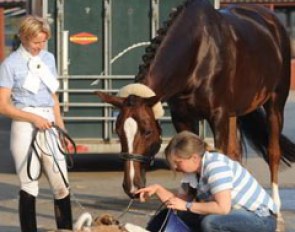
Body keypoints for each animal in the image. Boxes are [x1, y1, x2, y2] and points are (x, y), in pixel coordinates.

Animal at [96, 0, 295, 215]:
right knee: (235, 154)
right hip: (234, 114)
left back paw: (276, 205)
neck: (199, 53)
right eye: (118, 131)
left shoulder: (218, 116)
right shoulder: (183, 118)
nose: (132, 187)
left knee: (273, 151)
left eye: (147, 131)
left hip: (275, 103)